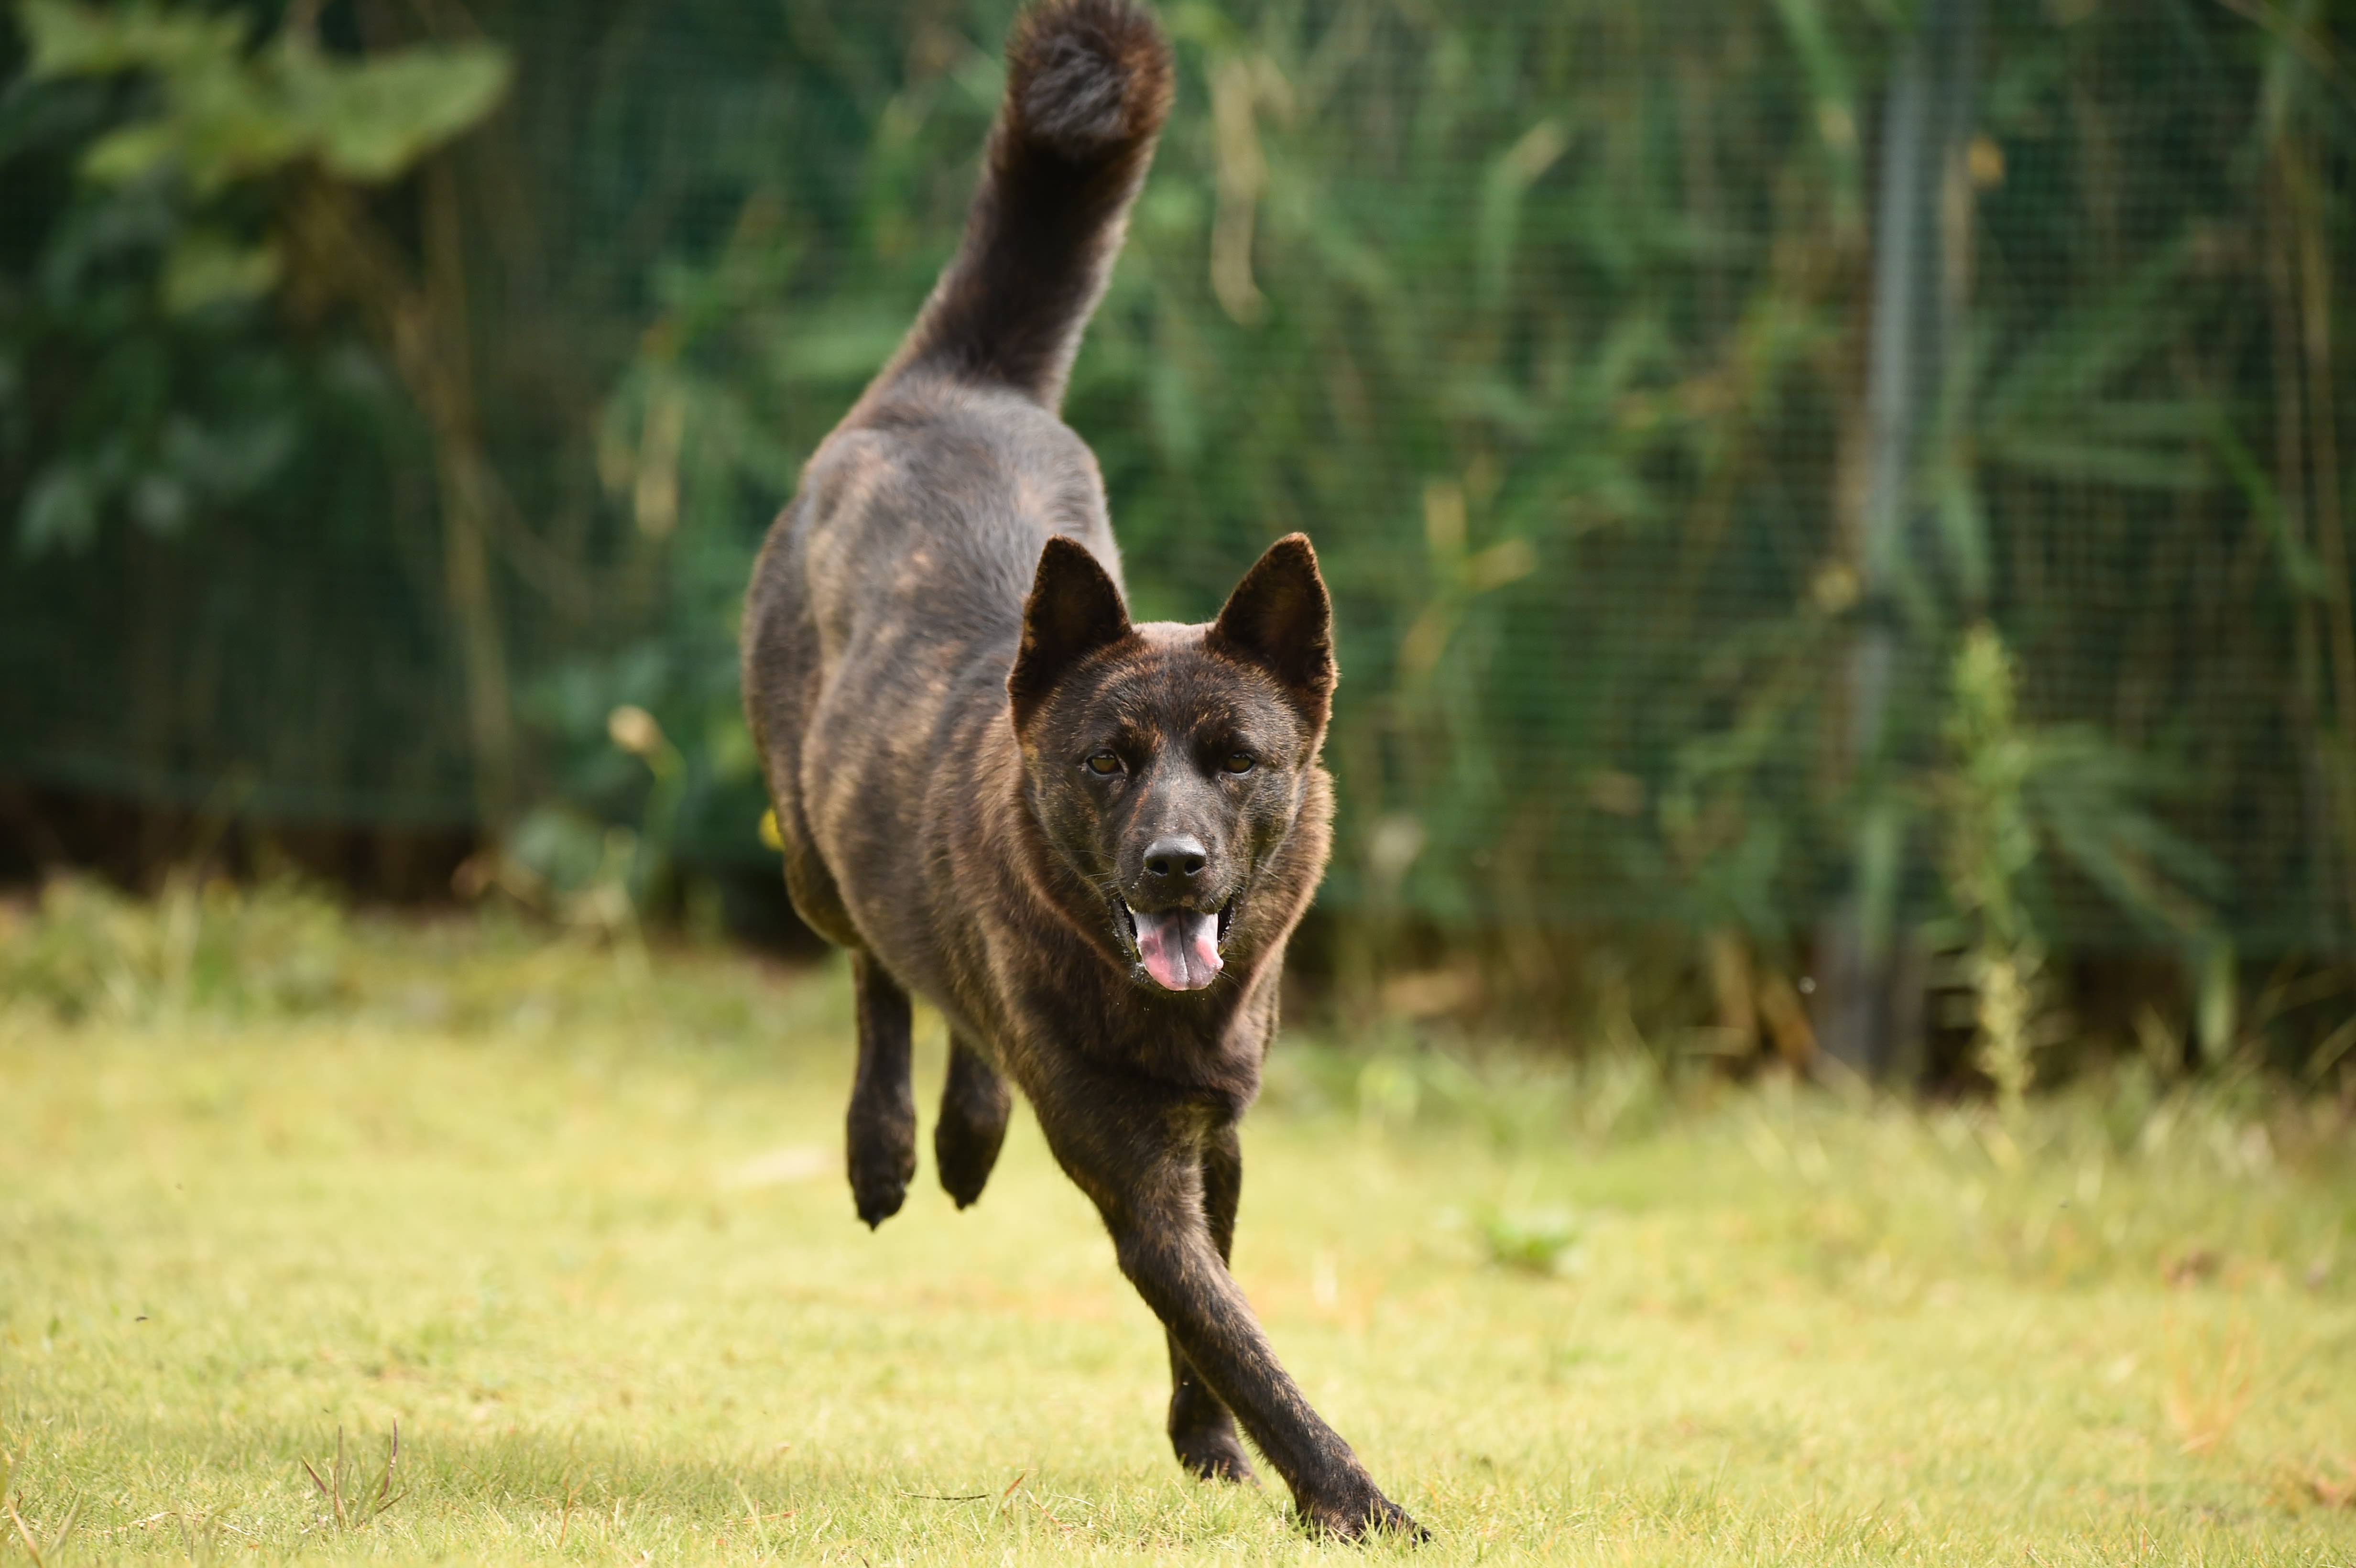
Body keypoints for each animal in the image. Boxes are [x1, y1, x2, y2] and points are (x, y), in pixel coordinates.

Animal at [740, 0, 1413, 1535]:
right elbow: (1238, 1334)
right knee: (877, 967)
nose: (1175, 864)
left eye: (1237, 760)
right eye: (1109, 762)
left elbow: (1211, 1325)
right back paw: (887, 1147)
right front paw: (1352, 1499)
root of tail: (957, 379)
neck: (1162, 1008)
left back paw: (969, 1133)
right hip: (812, 849)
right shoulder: (1128, 1169)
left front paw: (1211, 1445)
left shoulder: (1213, 1139)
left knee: (946, 999)